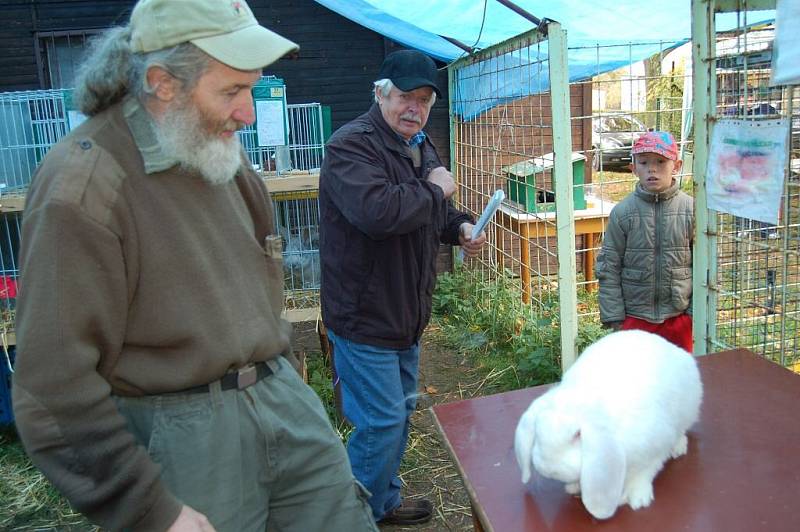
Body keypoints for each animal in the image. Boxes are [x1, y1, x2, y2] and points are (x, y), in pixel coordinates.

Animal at [516, 328, 704, 520]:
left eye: (577, 434)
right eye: (538, 433)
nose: (548, 469)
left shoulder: (654, 450)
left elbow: (644, 473)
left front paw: (638, 499)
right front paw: (573, 487)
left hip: (687, 409)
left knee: (682, 431)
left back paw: (678, 448)